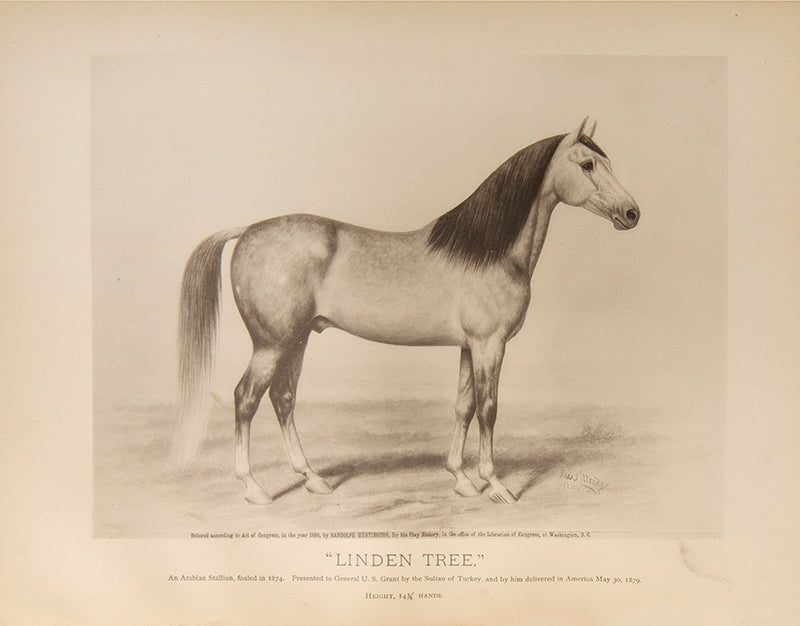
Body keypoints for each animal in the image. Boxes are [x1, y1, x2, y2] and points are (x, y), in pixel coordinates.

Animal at [172, 117, 640, 505]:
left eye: (605, 161)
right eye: (587, 165)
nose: (632, 213)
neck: (487, 252)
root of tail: (248, 231)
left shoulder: (469, 347)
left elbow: (463, 406)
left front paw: (461, 479)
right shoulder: (490, 345)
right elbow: (488, 408)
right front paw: (495, 484)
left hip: (297, 339)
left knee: (282, 398)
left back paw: (313, 478)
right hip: (270, 344)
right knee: (245, 399)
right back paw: (254, 488)